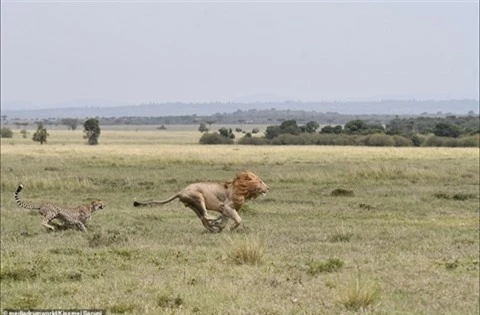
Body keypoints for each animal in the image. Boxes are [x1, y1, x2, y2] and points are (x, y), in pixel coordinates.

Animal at [133, 172, 268, 233]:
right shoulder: (227, 206)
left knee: (203, 218)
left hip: (193, 206)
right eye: (260, 181)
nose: (268, 188)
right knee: (206, 215)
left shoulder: (226, 210)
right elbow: (238, 219)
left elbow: (225, 221)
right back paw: (214, 220)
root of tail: (181, 191)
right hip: (198, 197)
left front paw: (221, 227)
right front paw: (230, 227)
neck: (242, 190)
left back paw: (213, 227)